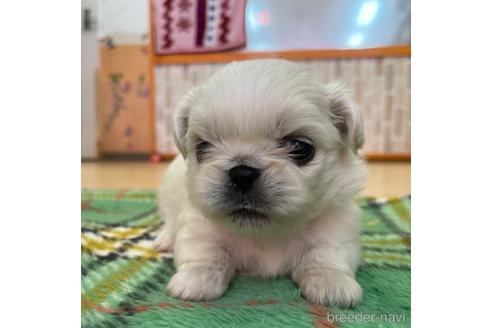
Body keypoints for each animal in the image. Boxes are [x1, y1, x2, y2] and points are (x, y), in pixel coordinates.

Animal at [156, 59, 368, 308]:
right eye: (202, 147)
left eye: (301, 147)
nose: (242, 173)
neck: (266, 234)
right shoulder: (198, 228)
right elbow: (207, 252)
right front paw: (195, 280)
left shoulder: (337, 229)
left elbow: (325, 254)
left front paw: (331, 283)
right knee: (170, 220)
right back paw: (164, 239)